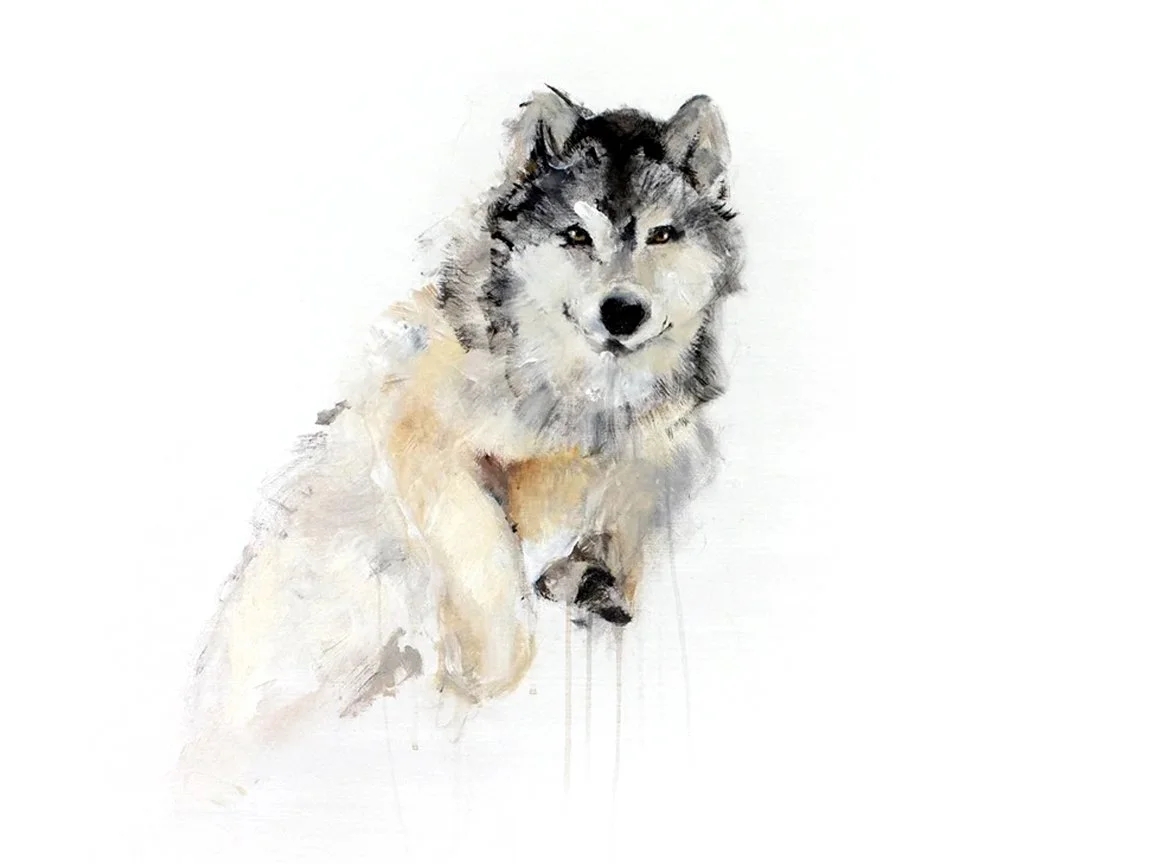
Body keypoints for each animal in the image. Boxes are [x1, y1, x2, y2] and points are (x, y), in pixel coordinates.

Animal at [182, 88, 743, 794]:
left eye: (662, 235)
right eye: (576, 235)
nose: (623, 312)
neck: (578, 406)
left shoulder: (671, 445)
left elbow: (641, 490)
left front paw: (597, 573)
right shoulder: (414, 431)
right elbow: (481, 547)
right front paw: (486, 670)